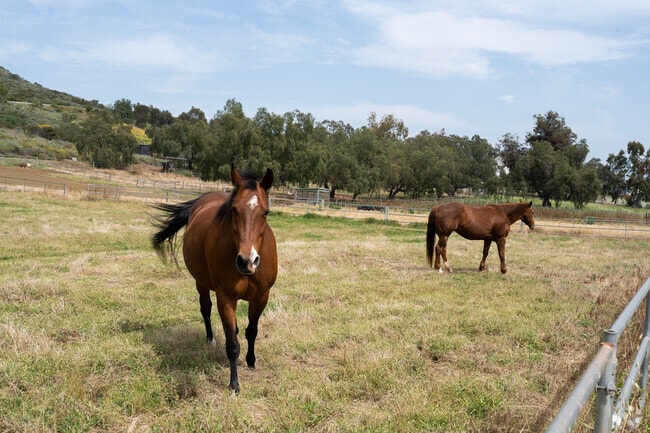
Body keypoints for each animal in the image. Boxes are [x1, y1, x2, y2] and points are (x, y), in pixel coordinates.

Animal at [151, 165, 277, 393]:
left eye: (266, 212)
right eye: (234, 210)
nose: (247, 261)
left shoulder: (262, 296)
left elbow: (251, 331)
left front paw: (251, 362)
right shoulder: (225, 297)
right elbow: (232, 345)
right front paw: (234, 384)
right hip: (200, 283)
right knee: (205, 309)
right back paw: (210, 339)